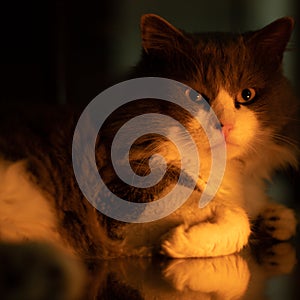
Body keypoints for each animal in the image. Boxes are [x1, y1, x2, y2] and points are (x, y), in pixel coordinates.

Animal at [0, 12, 298, 292]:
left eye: (247, 95)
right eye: (194, 96)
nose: (224, 125)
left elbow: (278, 217)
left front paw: (274, 219)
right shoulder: (124, 196)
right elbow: (233, 215)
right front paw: (177, 242)